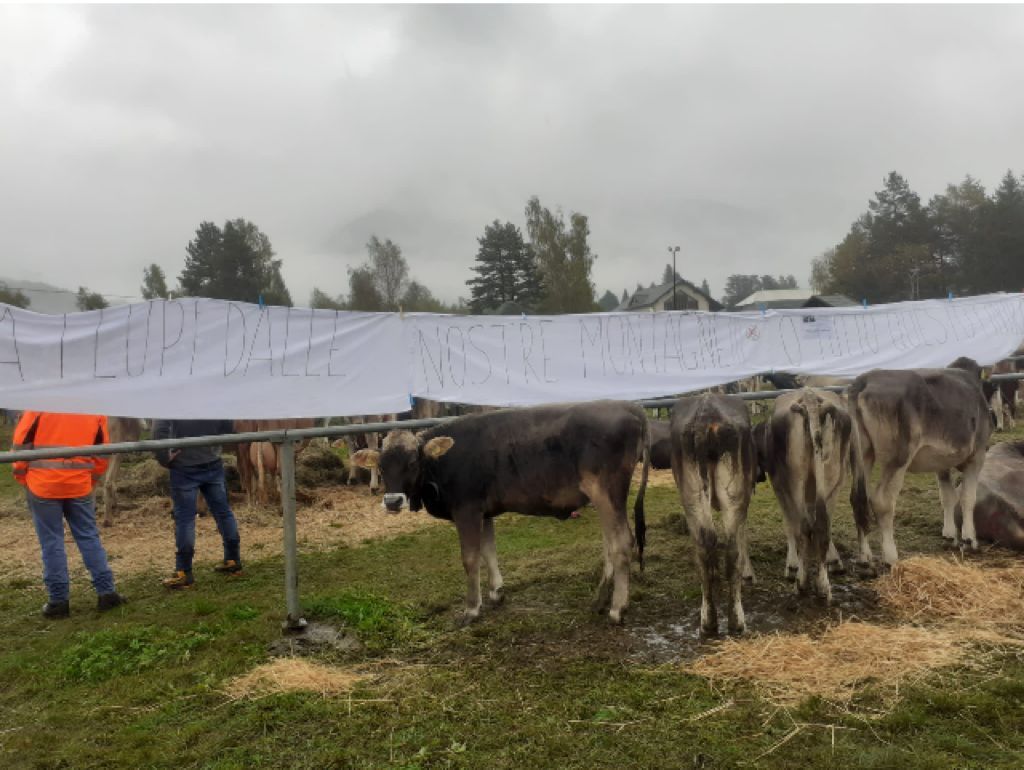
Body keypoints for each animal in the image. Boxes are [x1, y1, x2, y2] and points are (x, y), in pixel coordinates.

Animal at [350, 401, 650, 626]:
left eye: (413, 462)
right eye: (381, 465)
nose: (392, 501)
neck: (444, 462)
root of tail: (628, 406)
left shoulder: (467, 509)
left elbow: (470, 558)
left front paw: (472, 608)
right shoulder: (484, 512)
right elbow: (488, 551)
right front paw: (496, 593)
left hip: (606, 492)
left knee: (622, 542)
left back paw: (617, 609)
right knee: (610, 544)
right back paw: (600, 600)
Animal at [670, 393, 756, 636]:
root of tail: (706, 416)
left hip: (694, 495)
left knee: (708, 544)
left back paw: (711, 621)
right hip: (731, 495)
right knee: (728, 546)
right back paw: (732, 621)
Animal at [754, 388, 851, 603]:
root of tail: (810, 395)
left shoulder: (778, 484)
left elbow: (790, 524)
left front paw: (792, 565)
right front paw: (834, 560)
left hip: (793, 480)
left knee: (803, 526)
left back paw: (802, 582)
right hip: (835, 476)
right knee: (822, 524)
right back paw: (823, 586)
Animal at [848, 357, 991, 569]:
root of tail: (864, 380)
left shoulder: (942, 462)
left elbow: (948, 496)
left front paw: (950, 535)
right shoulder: (978, 454)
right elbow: (967, 497)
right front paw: (969, 539)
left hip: (863, 454)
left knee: (858, 498)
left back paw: (865, 557)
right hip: (899, 456)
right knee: (882, 500)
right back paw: (891, 557)